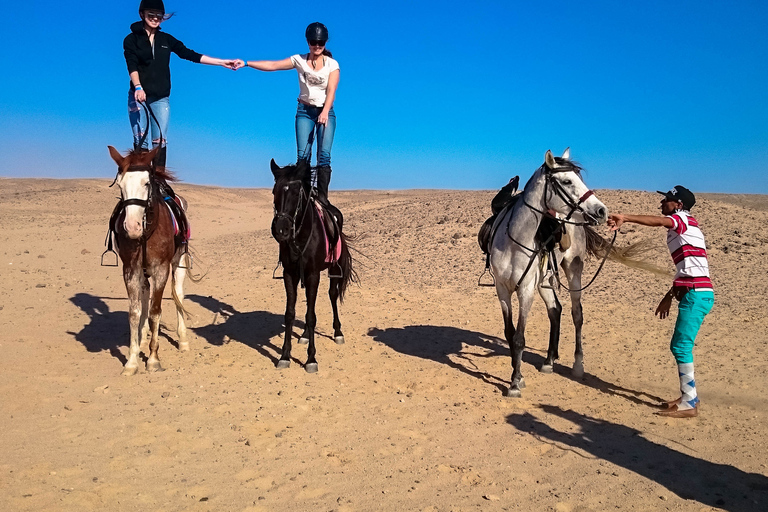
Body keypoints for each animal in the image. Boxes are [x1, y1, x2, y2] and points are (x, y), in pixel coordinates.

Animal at [106, 145, 190, 376]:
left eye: (146, 183)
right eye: (120, 184)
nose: (132, 227)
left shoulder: (162, 270)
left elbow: (155, 311)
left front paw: (153, 359)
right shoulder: (130, 270)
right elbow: (135, 312)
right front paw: (132, 361)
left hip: (179, 262)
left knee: (178, 294)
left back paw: (183, 340)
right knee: (145, 295)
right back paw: (143, 337)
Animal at [270, 160, 356, 372]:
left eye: (296, 194)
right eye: (274, 191)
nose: (281, 230)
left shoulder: (313, 274)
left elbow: (311, 316)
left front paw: (311, 359)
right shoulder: (290, 274)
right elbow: (290, 313)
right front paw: (285, 355)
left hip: (333, 268)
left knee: (332, 295)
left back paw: (338, 332)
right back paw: (305, 335)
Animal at [488, 148, 608, 396]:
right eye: (567, 181)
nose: (601, 211)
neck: (515, 240)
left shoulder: (525, 290)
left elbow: (519, 337)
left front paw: (515, 382)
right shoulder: (502, 289)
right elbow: (509, 332)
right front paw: (517, 373)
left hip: (573, 270)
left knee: (576, 314)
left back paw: (578, 365)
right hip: (545, 279)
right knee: (555, 309)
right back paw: (549, 360)